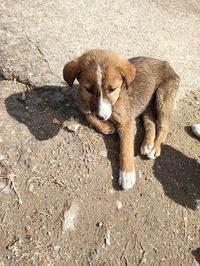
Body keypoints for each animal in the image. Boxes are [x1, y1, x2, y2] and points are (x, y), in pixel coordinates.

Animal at [63, 50, 180, 190]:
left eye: (112, 89)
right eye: (89, 89)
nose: (102, 117)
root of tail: (164, 62)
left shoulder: (126, 122)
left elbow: (126, 148)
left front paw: (127, 174)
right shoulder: (84, 105)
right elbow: (88, 115)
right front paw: (106, 126)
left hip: (163, 97)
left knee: (164, 126)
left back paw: (155, 148)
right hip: (145, 103)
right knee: (150, 122)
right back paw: (147, 144)